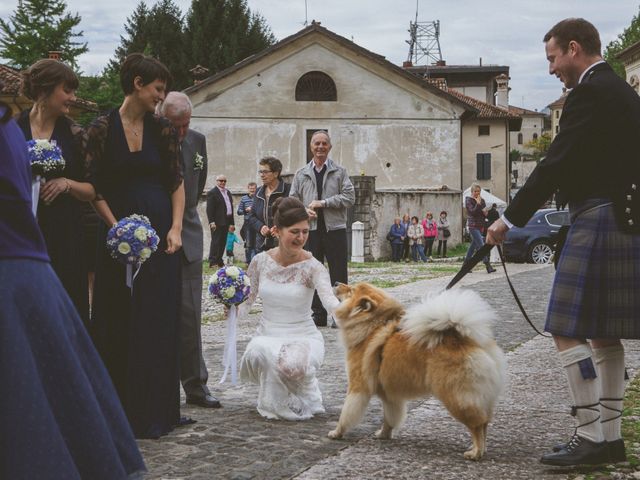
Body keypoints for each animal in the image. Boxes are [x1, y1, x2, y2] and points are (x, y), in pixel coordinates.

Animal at [330, 284, 504, 460]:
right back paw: (480, 449)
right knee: (485, 423)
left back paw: (475, 452)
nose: (336, 283)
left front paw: (337, 433)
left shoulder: (358, 387)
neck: (371, 326)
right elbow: (390, 418)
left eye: (350, 290)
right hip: (480, 397)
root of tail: (463, 340)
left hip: (456, 397)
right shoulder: (390, 396)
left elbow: (346, 414)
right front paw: (384, 434)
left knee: (477, 425)